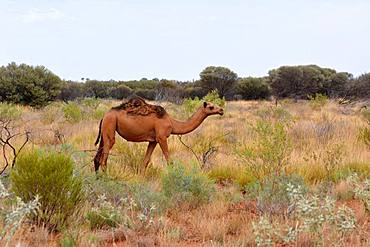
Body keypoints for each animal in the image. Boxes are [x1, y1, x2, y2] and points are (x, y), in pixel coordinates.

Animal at [94, 97, 224, 173]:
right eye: (211, 107)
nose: (221, 110)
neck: (172, 123)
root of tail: (104, 116)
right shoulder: (162, 137)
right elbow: (169, 161)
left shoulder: (153, 140)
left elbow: (145, 162)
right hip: (110, 125)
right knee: (104, 160)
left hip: (105, 131)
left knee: (97, 158)